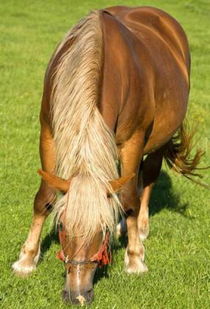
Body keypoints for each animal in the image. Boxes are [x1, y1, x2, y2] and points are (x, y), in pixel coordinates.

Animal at [12, 6, 203, 304]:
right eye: (62, 226)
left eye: (102, 230)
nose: (78, 295)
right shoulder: (48, 134)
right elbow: (44, 198)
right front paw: (26, 259)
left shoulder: (132, 141)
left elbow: (129, 199)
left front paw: (135, 259)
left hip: (158, 139)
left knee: (147, 178)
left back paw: (141, 228)